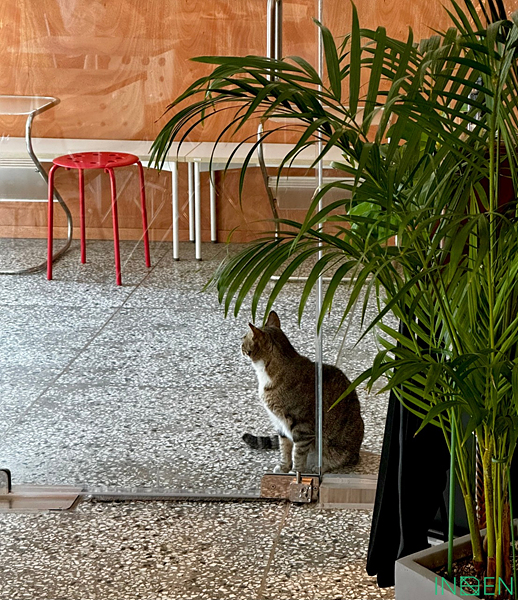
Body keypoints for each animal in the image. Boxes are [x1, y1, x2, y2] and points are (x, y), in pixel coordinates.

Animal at [241, 310, 364, 473]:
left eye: (243, 338)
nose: (240, 345)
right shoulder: (280, 424)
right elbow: (285, 448)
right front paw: (284, 467)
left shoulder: (303, 428)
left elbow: (298, 453)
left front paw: (295, 472)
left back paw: (320, 466)